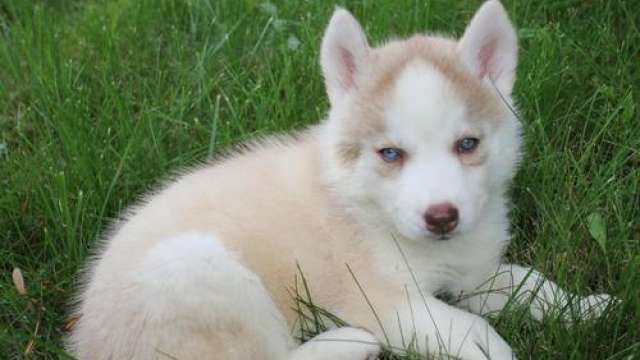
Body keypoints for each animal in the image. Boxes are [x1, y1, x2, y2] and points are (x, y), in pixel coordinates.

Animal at [67, 1, 612, 358]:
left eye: (467, 144)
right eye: (390, 153)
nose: (442, 218)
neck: (365, 206)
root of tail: (86, 338)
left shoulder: (470, 276)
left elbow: (530, 284)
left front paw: (585, 307)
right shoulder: (388, 302)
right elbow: (473, 331)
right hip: (198, 269)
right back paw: (345, 341)